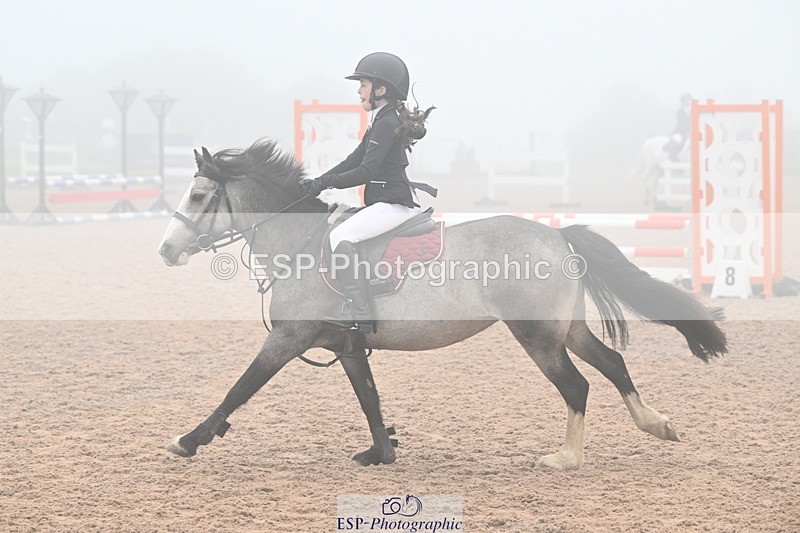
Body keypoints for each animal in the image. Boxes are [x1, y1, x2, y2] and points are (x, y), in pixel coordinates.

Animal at [158, 140, 727, 470]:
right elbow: (369, 399)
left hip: (537, 335)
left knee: (576, 385)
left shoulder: (288, 338)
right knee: (611, 363)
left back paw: (566, 458)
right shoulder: (346, 345)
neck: (299, 243)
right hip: (565, 329)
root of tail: (557, 235)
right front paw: (382, 452)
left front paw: (190, 439)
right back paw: (655, 424)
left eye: (199, 196)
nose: (164, 251)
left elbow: (240, 387)